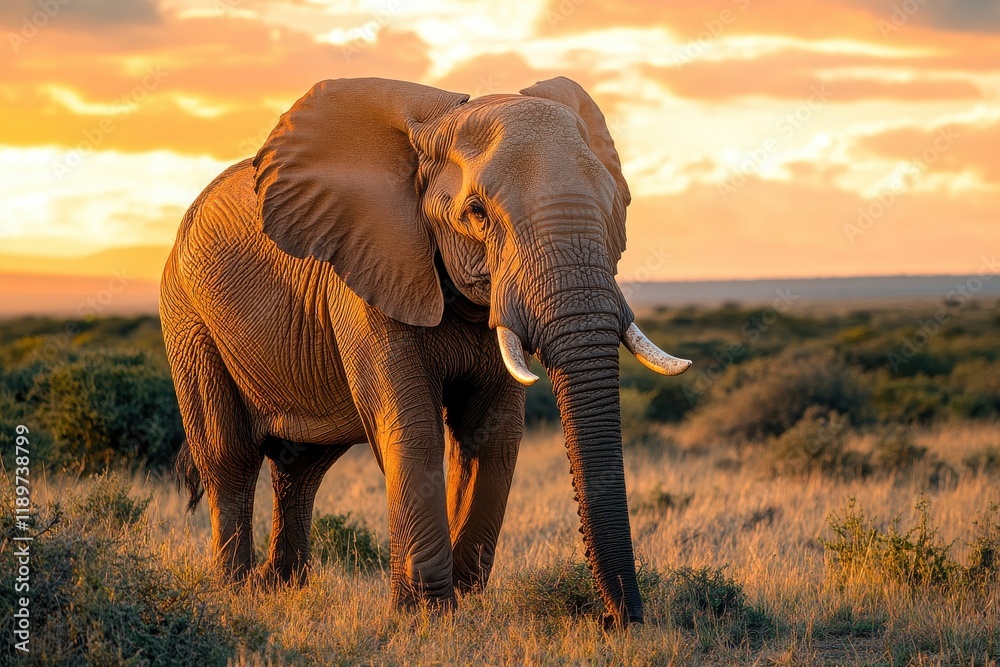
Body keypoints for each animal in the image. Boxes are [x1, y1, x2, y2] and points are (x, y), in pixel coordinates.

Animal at [160, 76, 690, 629]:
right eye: (477, 213)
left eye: (616, 204)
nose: (616, 620)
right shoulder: (369, 270)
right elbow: (412, 428)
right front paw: (427, 614)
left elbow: (493, 434)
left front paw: (465, 601)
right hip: (187, 317)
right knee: (229, 456)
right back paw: (237, 592)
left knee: (301, 464)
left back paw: (280, 587)